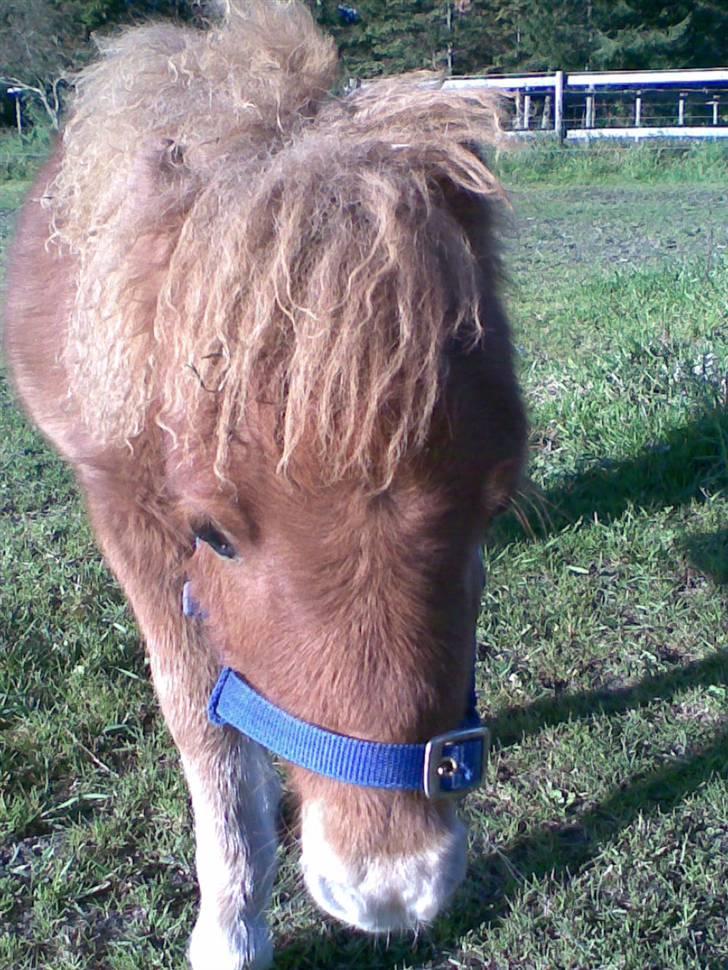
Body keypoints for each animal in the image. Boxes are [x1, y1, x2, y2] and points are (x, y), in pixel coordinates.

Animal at [2, 3, 528, 964]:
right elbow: (205, 726)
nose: (392, 885)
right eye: (211, 534)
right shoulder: (127, 513)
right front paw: (232, 927)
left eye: (495, 505)